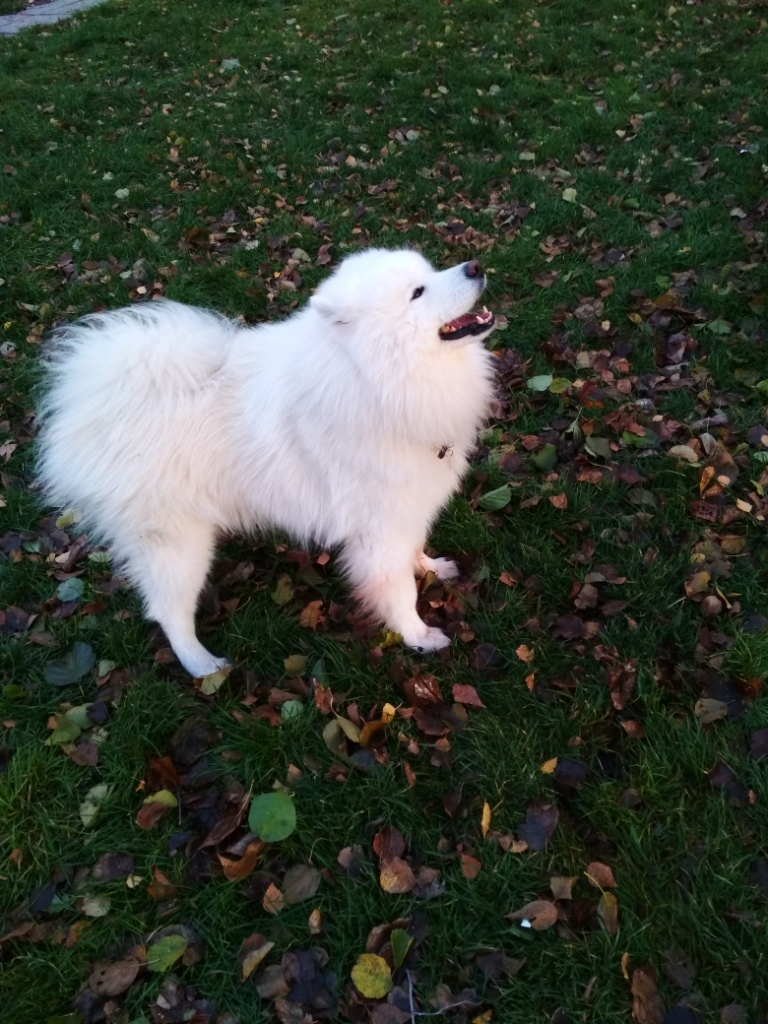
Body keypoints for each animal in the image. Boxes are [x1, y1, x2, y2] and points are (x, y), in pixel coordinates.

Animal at [36, 248, 495, 675]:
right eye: (417, 293)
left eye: (430, 271)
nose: (475, 267)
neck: (375, 382)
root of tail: (86, 407)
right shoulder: (378, 531)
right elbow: (399, 591)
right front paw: (418, 636)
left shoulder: (409, 509)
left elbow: (415, 548)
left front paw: (431, 567)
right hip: (176, 545)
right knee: (169, 613)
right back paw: (203, 665)